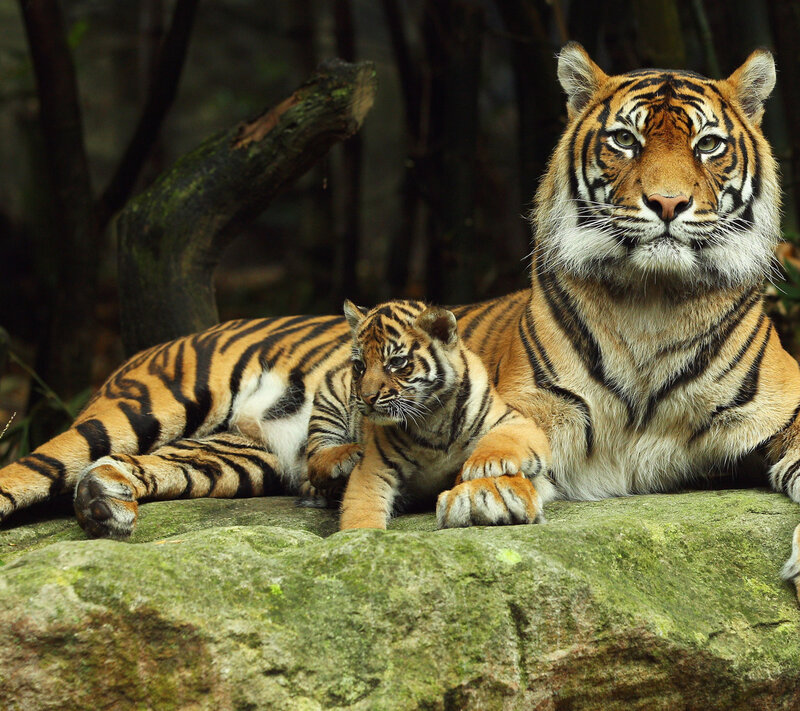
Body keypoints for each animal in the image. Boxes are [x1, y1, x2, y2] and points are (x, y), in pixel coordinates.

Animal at [298, 299, 549, 529]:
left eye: (396, 362)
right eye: (360, 365)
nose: (368, 397)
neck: (433, 418)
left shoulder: (516, 420)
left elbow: (504, 438)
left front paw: (484, 464)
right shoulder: (375, 467)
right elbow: (362, 510)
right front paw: (363, 538)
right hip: (330, 397)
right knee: (314, 460)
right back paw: (348, 455)